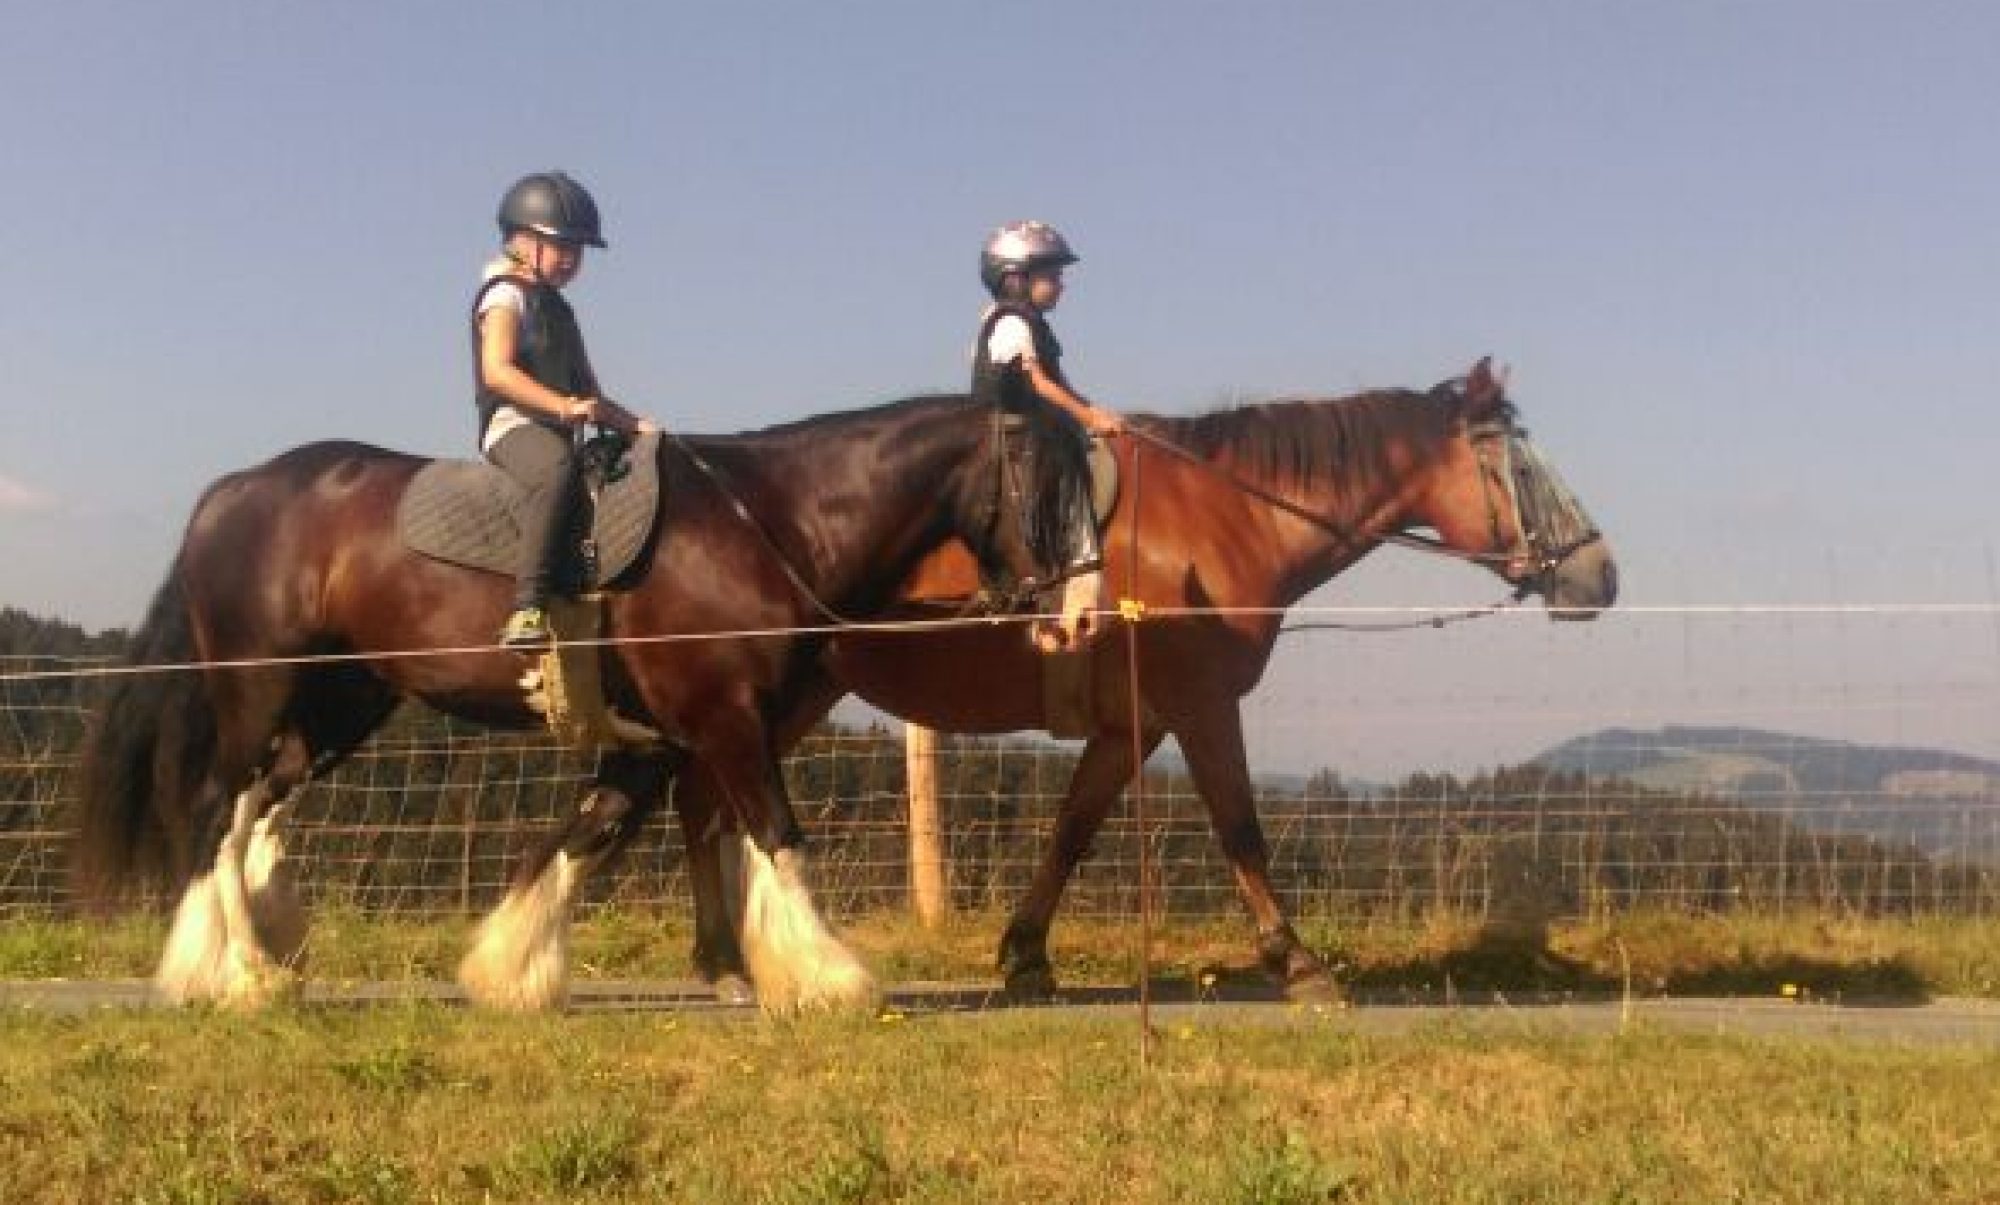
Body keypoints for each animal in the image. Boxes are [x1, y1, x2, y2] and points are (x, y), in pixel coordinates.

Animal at [70, 393, 1066, 1014]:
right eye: (1051, 485)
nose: (1055, 609)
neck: (766, 522)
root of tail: (231, 490)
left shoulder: (659, 738)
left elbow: (583, 835)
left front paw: (506, 969)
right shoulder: (727, 718)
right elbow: (777, 834)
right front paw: (830, 978)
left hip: (342, 704)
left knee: (256, 804)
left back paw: (242, 957)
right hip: (259, 685)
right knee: (217, 809)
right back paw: (236, 973)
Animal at [674, 358, 1619, 1003]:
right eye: (1522, 468)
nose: (1600, 575)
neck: (1230, 514)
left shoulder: (1135, 724)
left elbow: (1070, 831)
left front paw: (1025, 954)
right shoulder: (1202, 706)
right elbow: (1240, 829)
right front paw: (1297, 961)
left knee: (701, 802)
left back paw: (723, 961)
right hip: (766, 698)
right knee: (706, 803)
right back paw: (728, 960)